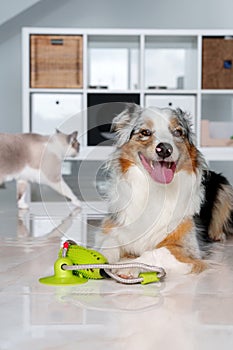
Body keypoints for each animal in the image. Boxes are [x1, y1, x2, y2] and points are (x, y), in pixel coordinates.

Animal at [98, 104, 233, 276]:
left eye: (178, 132)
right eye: (145, 132)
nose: (164, 149)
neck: (155, 190)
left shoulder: (189, 249)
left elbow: (154, 253)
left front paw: (129, 266)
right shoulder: (112, 227)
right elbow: (108, 243)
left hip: (225, 188)